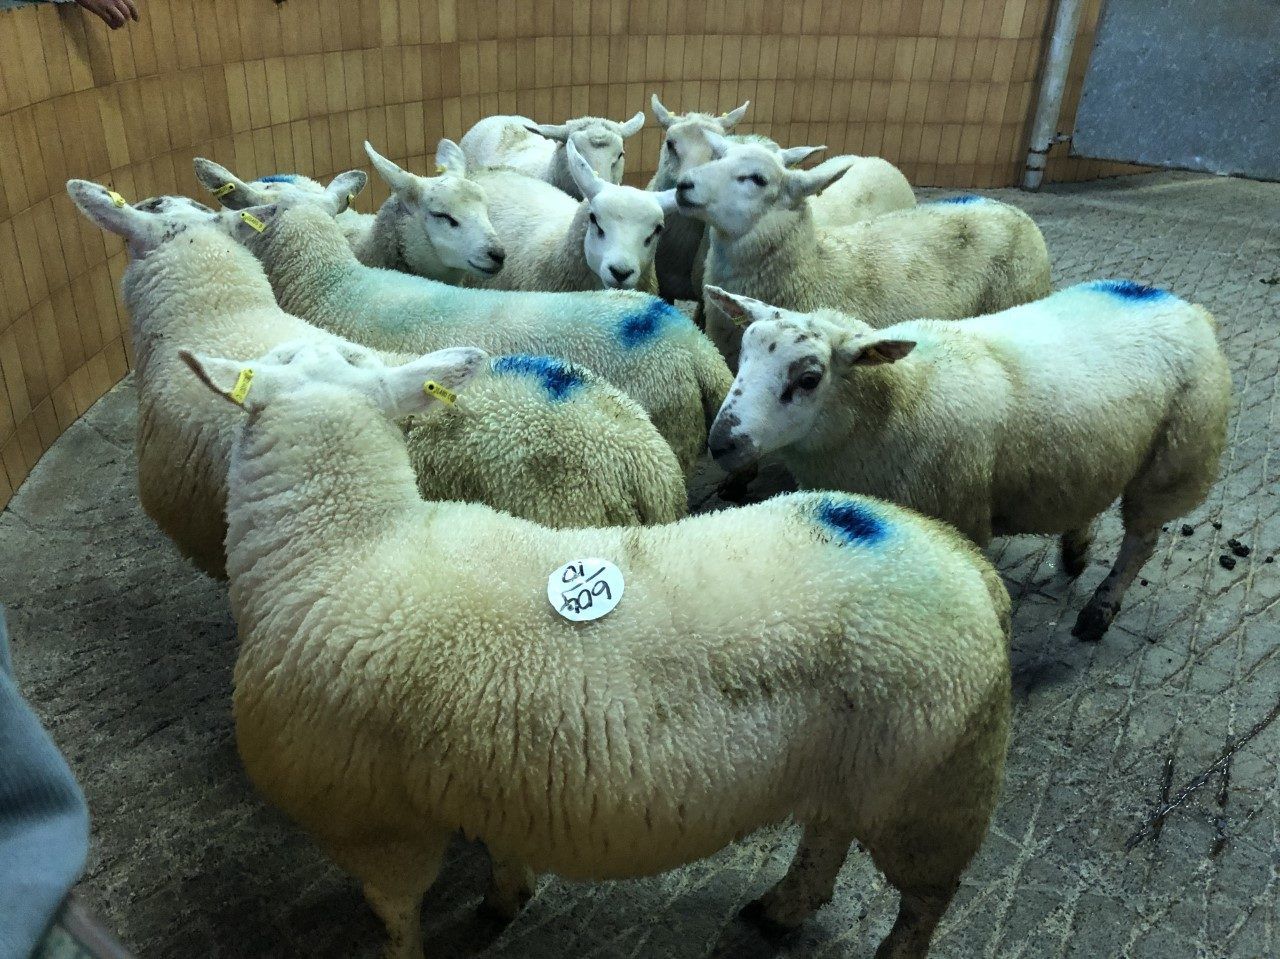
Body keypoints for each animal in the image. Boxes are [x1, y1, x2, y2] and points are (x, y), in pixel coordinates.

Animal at [183, 335, 1013, 959]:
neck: (345, 541)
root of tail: (967, 562)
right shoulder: (475, 780)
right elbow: (499, 852)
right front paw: (506, 896)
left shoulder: (374, 826)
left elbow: (396, 916)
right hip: (861, 769)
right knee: (828, 835)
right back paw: (781, 906)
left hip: (932, 788)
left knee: (926, 898)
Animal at [704, 280, 1231, 642]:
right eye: (743, 355)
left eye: (809, 378)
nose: (721, 443)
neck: (900, 400)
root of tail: (1184, 305)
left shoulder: (958, 517)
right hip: (1097, 449)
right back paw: (1076, 549)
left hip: (1176, 460)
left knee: (1141, 540)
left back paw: (1099, 612)